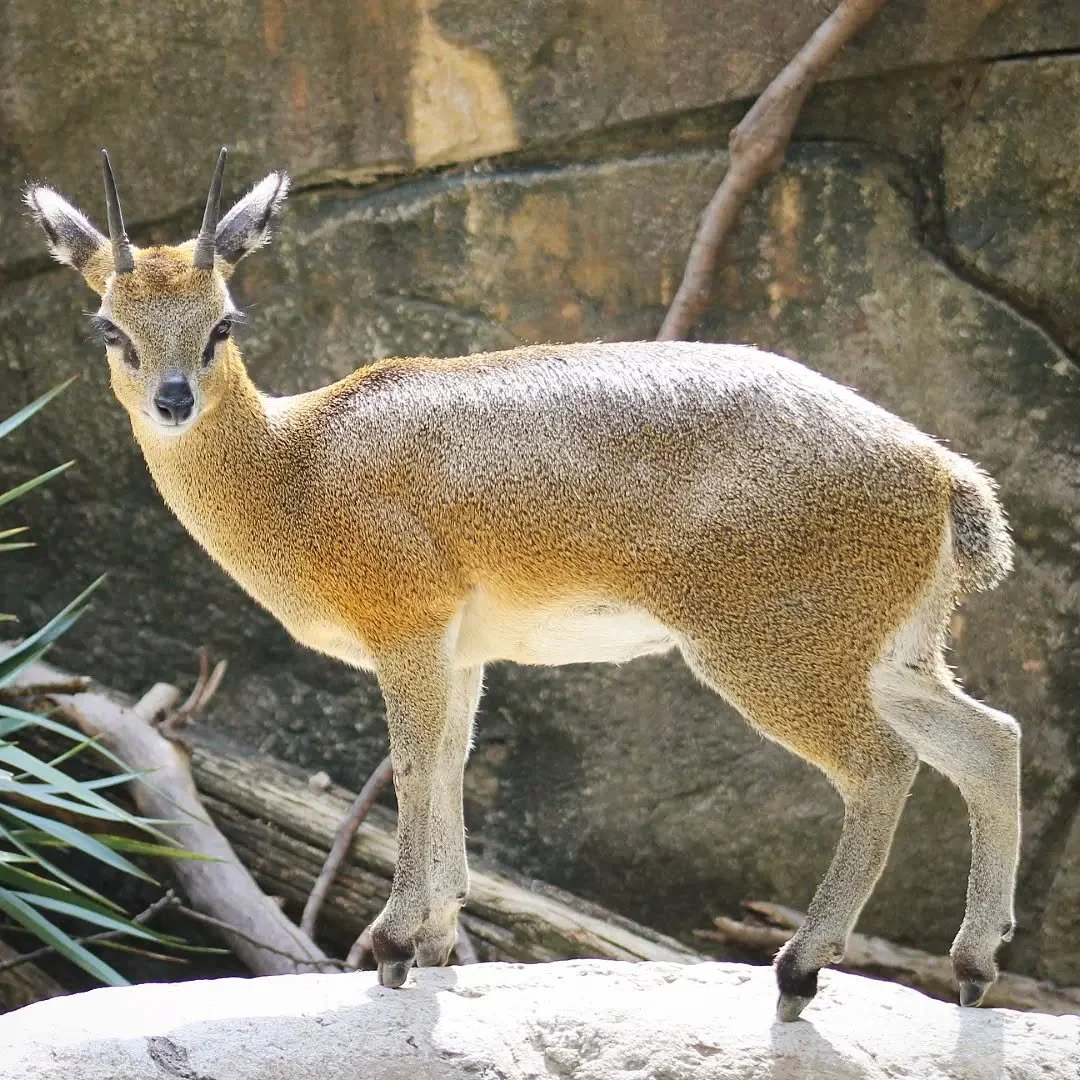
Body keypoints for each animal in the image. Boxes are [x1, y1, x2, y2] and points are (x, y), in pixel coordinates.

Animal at [25, 149, 1020, 1021]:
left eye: (223, 321)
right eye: (110, 326)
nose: (175, 398)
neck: (296, 467)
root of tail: (945, 475)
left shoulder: (407, 631)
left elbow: (410, 768)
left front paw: (392, 944)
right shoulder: (464, 653)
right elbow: (451, 766)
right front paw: (432, 942)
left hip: (771, 651)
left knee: (883, 767)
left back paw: (800, 970)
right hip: (890, 656)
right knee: (991, 739)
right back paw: (972, 969)